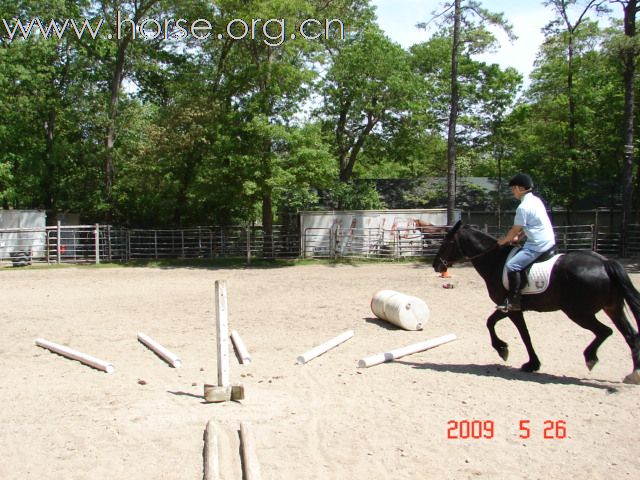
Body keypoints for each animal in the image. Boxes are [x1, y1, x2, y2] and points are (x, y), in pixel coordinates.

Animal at [432, 219, 640, 384]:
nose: (436, 265)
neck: (494, 260)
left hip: (579, 313)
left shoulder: (510, 308)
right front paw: (531, 362)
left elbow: (502, 327)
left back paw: (591, 358)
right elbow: (522, 333)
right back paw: (633, 374)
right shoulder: (515, 310)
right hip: (612, 308)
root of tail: (605, 263)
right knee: (630, 335)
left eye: (447, 242)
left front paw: (506, 351)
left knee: (605, 331)